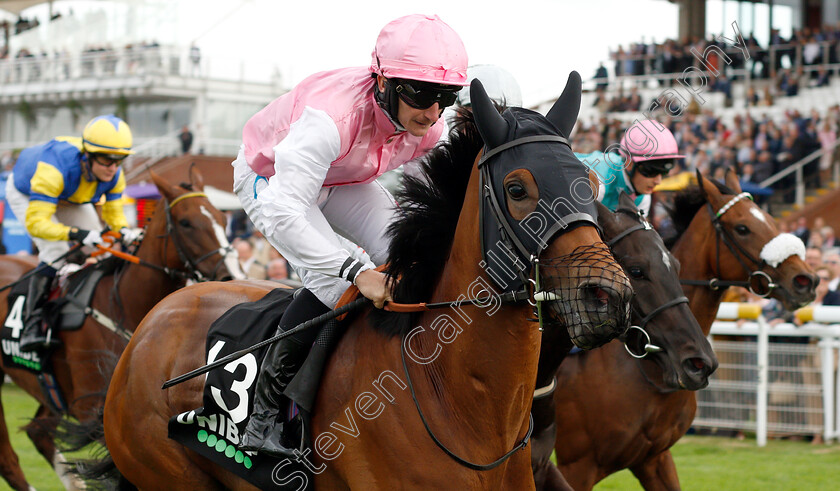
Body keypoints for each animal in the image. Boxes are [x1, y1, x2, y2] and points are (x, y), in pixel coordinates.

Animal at [0, 170, 246, 491]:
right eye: (186, 223)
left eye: (221, 218)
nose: (232, 275)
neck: (124, 301)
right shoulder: (93, 403)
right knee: (10, 455)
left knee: (38, 432)